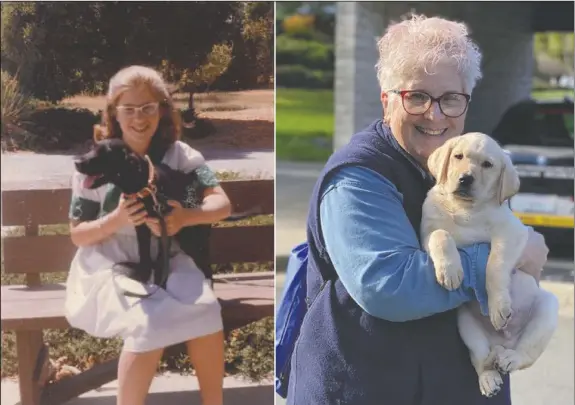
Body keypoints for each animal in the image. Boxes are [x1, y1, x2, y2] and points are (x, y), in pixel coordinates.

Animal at [72, 139, 252, 296]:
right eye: (92, 148)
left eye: (105, 153)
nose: (76, 162)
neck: (145, 186)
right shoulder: (141, 226)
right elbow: (144, 254)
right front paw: (144, 277)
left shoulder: (163, 228)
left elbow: (160, 261)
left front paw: (161, 285)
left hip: (192, 241)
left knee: (207, 269)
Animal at [420, 132, 560, 394]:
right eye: (458, 156)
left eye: (487, 165)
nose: (465, 179)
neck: (466, 209)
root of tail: (503, 341)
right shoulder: (426, 233)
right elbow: (441, 236)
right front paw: (450, 271)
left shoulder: (511, 233)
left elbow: (494, 265)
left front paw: (498, 307)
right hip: (466, 326)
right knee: (482, 359)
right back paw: (489, 378)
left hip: (547, 310)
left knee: (525, 354)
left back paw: (510, 358)